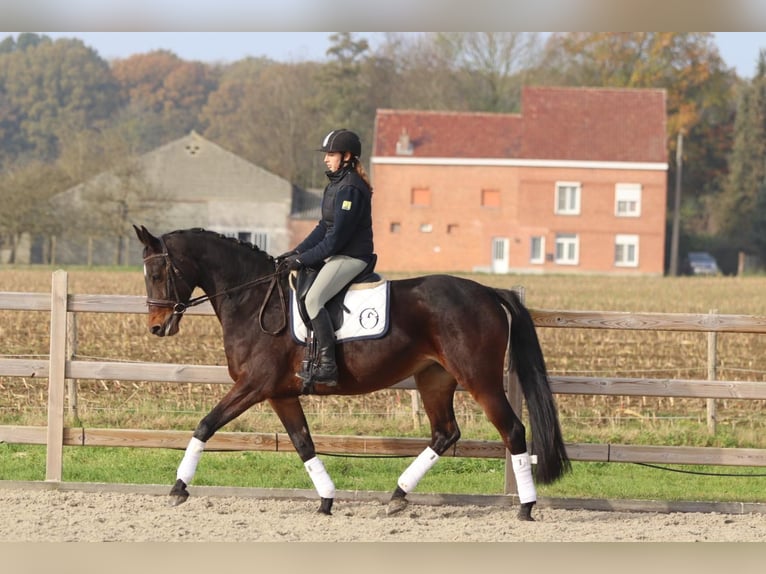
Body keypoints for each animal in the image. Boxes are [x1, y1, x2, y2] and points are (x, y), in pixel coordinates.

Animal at [134, 225, 568, 520]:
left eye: (157, 274)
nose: (156, 327)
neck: (253, 298)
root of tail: (488, 292)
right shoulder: (280, 393)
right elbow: (303, 443)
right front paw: (326, 499)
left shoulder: (253, 385)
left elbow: (206, 425)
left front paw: (178, 488)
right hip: (434, 378)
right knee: (445, 433)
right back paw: (397, 496)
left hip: (480, 379)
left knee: (512, 430)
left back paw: (526, 508)